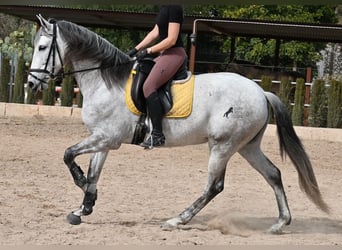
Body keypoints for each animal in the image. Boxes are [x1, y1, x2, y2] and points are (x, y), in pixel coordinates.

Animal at [27, 15, 328, 234]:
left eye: (42, 47)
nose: (31, 84)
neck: (105, 81)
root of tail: (261, 92)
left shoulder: (106, 138)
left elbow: (68, 154)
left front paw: (81, 188)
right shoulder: (103, 140)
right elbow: (93, 173)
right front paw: (84, 208)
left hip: (222, 146)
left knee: (214, 186)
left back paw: (177, 220)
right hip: (246, 146)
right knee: (273, 174)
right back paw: (280, 223)